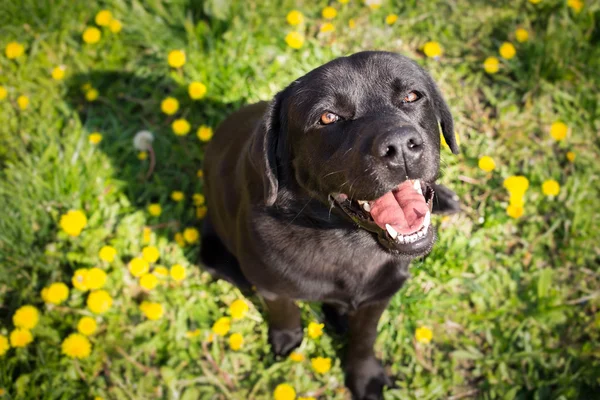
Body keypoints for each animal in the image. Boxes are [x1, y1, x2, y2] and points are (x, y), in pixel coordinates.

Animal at [202, 51, 460, 398]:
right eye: (328, 117)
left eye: (411, 96)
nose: (400, 146)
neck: (350, 241)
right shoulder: (269, 286)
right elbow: (285, 312)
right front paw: (286, 342)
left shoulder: (379, 294)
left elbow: (364, 339)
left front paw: (365, 377)